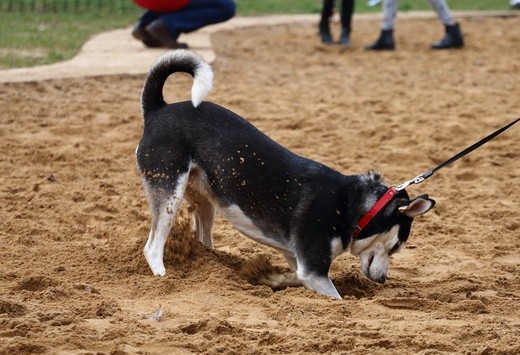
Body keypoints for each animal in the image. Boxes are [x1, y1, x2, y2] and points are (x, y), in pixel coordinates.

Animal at [135, 50, 434, 300]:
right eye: (396, 247)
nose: (383, 280)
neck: (352, 207)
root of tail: (158, 109)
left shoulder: (298, 262)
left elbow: (293, 277)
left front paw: (271, 279)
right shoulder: (313, 270)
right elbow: (335, 297)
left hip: (204, 198)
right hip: (169, 191)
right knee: (152, 247)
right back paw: (163, 276)